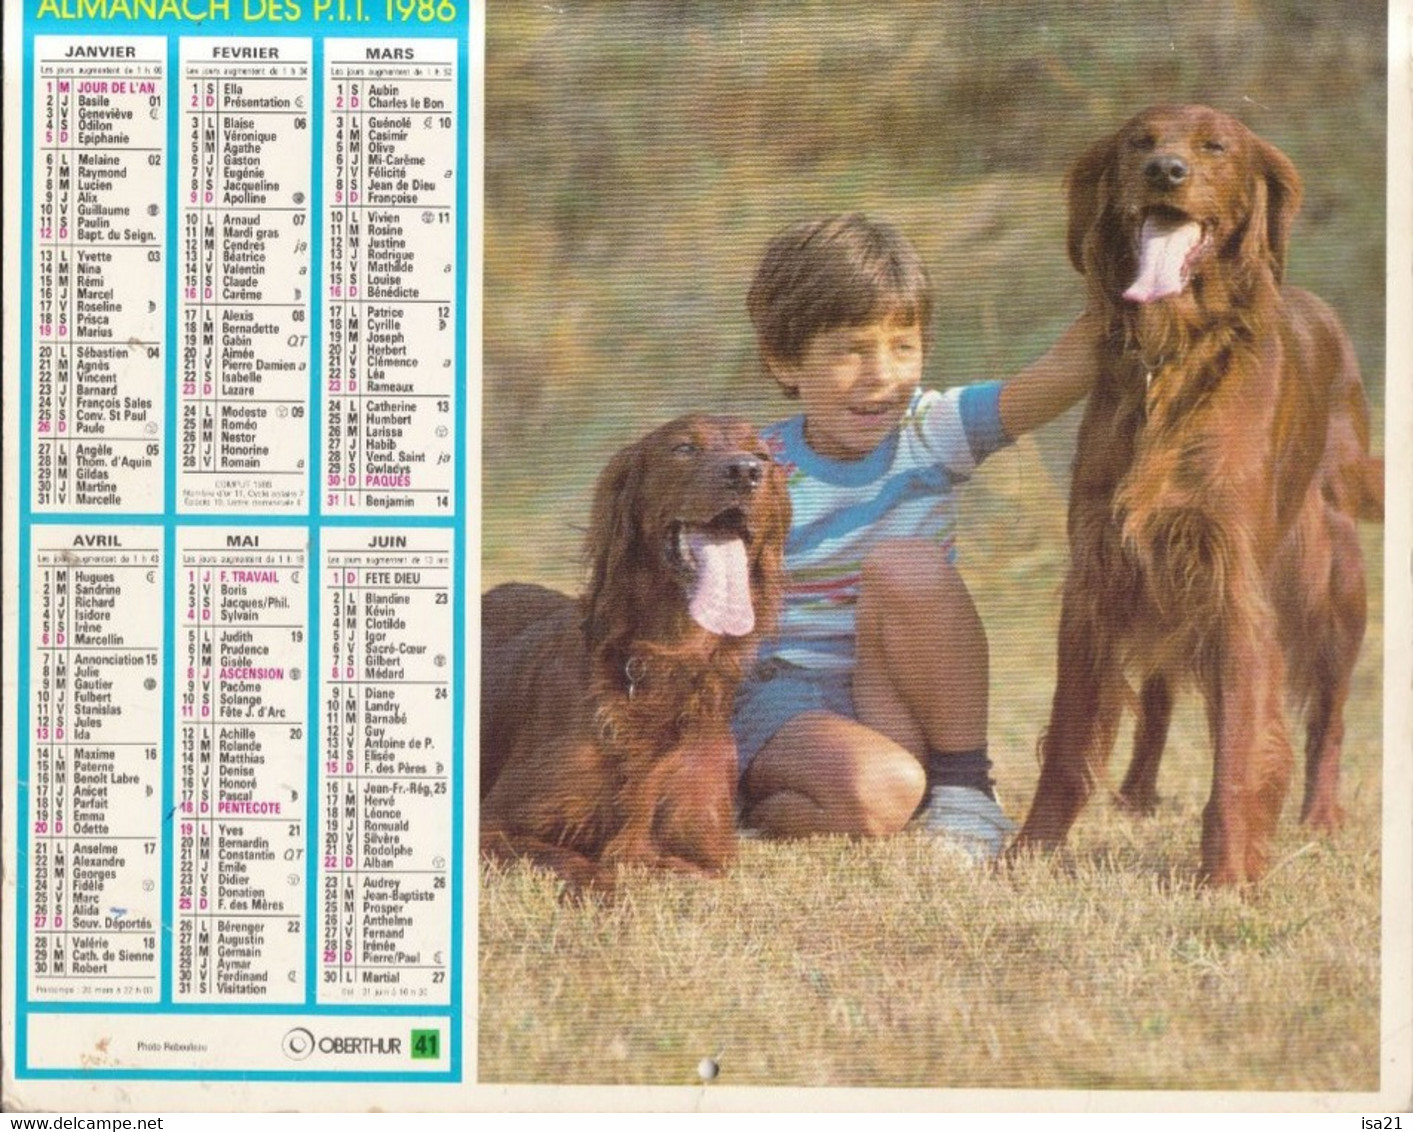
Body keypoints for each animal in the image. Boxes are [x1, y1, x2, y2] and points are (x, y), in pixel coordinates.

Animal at [483, 409, 796, 887]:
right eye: (684, 447)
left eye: (762, 455)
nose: (745, 472)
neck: (666, 663)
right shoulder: (490, 828)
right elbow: (584, 866)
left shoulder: (710, 861)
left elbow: (658, 863)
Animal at [1011, 105, 1384, 881]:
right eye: (1138, 143)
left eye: (1216, 146)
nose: (1166, 172)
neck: (1173, 353)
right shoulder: (1101, 572)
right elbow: (1068, 740)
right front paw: (1027, 853)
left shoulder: (1234, 584)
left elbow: (1239, 751)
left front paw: (1228, 874)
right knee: (1157, 694)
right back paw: (1136, 792)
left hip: (1333, 582)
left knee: (1328, 715)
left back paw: (1320, 814)